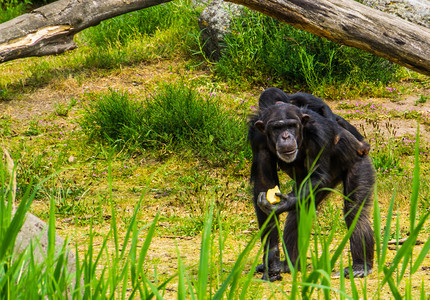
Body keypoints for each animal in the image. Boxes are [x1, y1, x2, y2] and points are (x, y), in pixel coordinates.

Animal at [250, 88, 374, 282]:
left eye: (291, 126)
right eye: (277, 127)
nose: (286, 136)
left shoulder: (318, 133)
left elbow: (317, 174)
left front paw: (283, 203)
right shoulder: (258, 140)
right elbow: (264, 183)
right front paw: (271, 256)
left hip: (359, 164)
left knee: (355, 212)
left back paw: (361, 266)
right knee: (297, 214)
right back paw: (290, 264)